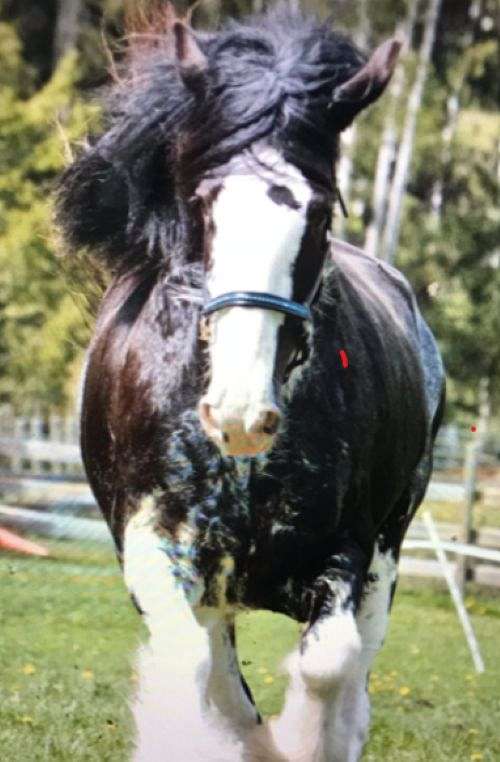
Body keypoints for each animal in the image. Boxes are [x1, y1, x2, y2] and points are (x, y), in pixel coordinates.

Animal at [56, 5, 445, 761]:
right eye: (205, 205)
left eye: (319, 212)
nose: (238, 413)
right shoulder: (156, 544)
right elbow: (195, 673)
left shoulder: (347, 548)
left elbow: (328, 664)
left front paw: (297, 739)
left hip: (391, 544)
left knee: (358, 658)